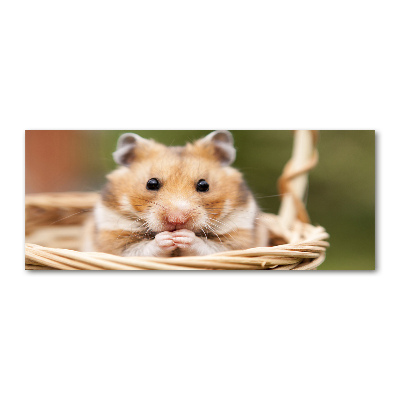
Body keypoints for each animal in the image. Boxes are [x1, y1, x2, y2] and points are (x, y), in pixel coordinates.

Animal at [84, 130, 266, 258]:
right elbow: (143, 249)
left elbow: (208, 247)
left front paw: (182, 236)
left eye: (204, 185)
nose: (177, 220)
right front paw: (167, 238)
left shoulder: (237, 238)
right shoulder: (114, 239)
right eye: (151, 183)